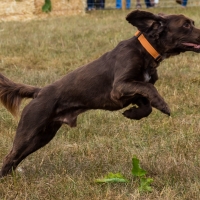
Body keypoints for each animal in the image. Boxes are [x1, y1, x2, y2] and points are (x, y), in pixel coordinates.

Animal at [0, 10, 200, 177]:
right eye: (186, 25)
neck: (146, 51)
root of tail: (39, 92)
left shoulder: (134, 92)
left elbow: (147, 105)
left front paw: (132, 113)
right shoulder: (118, 87)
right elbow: (150, 89)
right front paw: (163, 105)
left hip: (43, 135)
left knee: (15, 158)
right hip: (29, 130)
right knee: (11, 155)